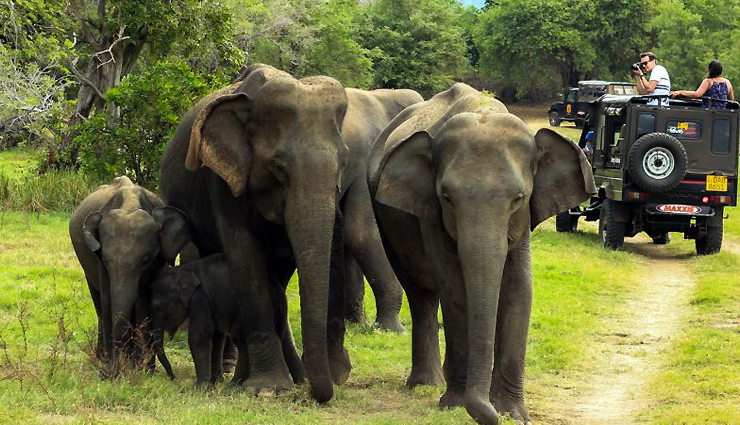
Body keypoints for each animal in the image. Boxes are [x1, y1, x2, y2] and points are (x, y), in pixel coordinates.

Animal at [69, 176, 193, 377]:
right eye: (105, 260)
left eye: (145, 261)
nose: (109, 374)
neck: (130, 204)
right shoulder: (99, 259)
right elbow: (108, 300)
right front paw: (116, 368)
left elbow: (143, 303)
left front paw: (141, 369)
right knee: (99, 304)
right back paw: (103, 357)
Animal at [150, 253, 306, 388]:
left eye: (158, 307)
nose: (172, 377)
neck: (185, 269)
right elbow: (217, 336)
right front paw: (215, 381)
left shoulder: (201, 298)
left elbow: (199, 336)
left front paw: (199, 388)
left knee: (242, 343)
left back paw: (233, 386)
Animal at [368, 83, 596, 425]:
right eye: (447, 198)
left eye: (518, 198)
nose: (489, 414)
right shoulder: (429, 213)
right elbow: (455, 287)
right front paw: (454, 405)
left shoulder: (523, 222)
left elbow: (519, 288)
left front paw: (513, 414)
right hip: (385, 222)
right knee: (420, 294)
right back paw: (428, 384)